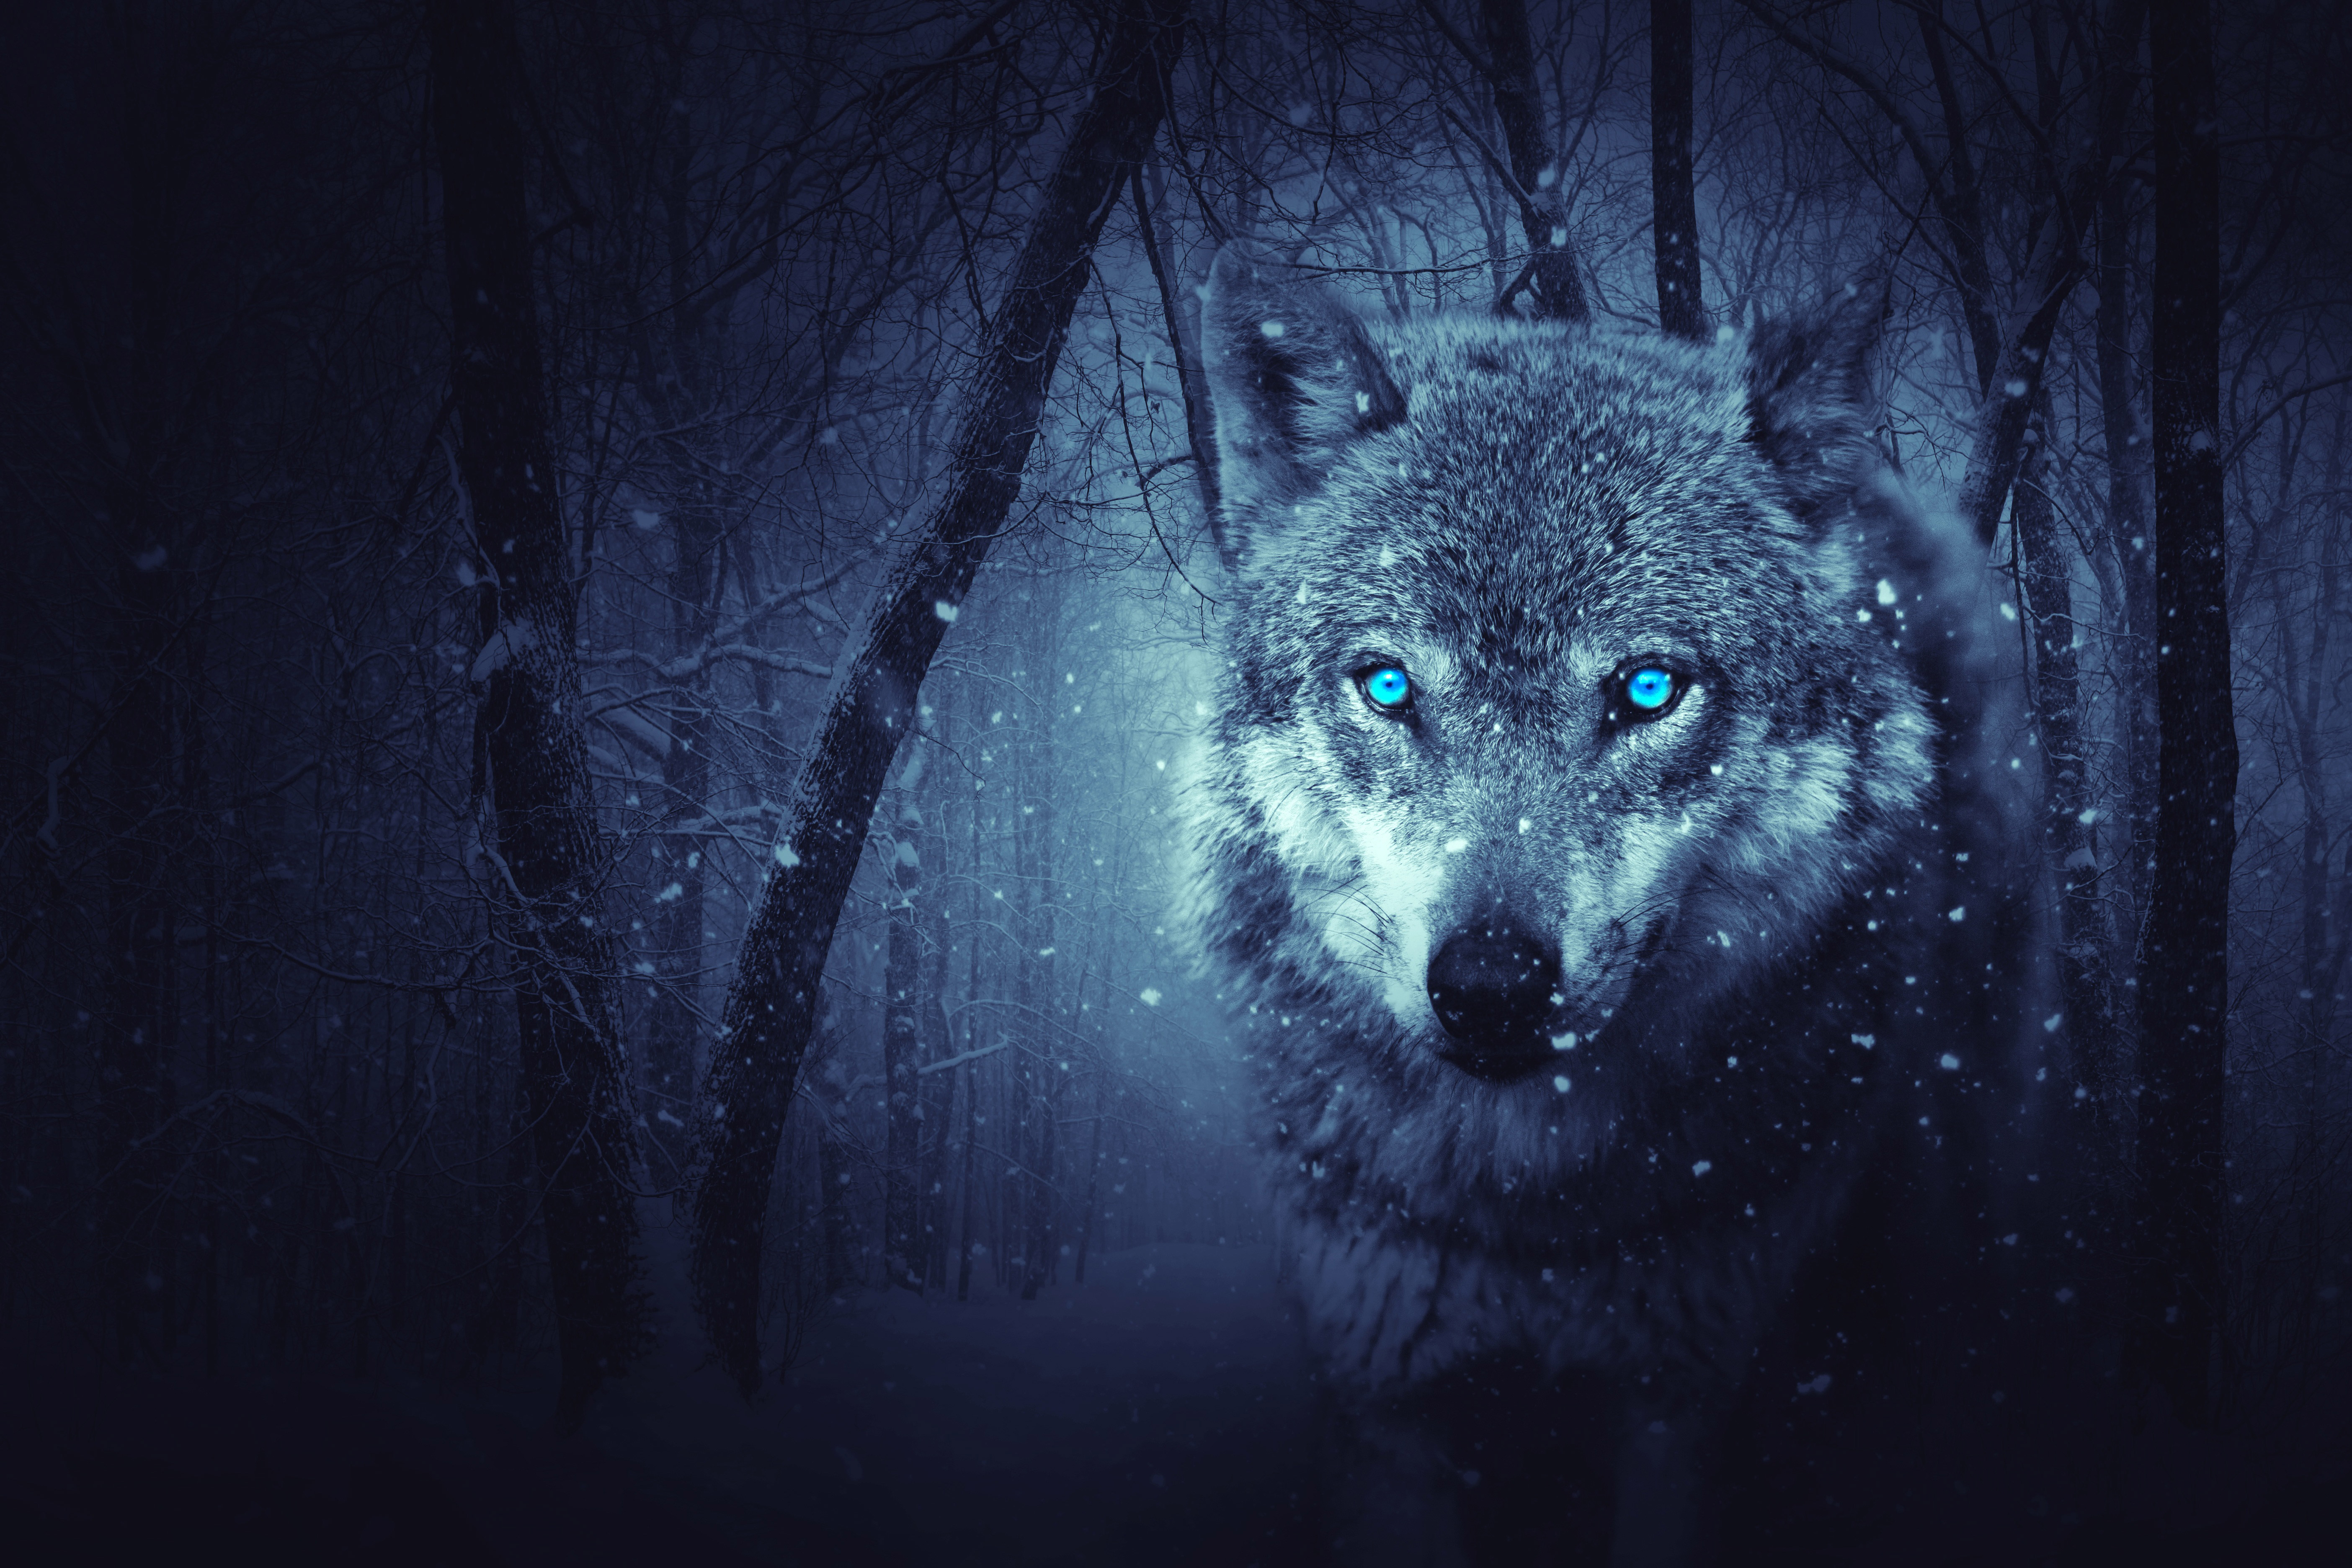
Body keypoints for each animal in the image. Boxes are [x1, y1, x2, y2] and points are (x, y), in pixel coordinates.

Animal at [1179, 247, 2037, 1565]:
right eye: (1389, 686)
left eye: (1645, 690)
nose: (1489, 986)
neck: (1532, 1218)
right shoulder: (1387, 1402)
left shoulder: (1686, 1402)